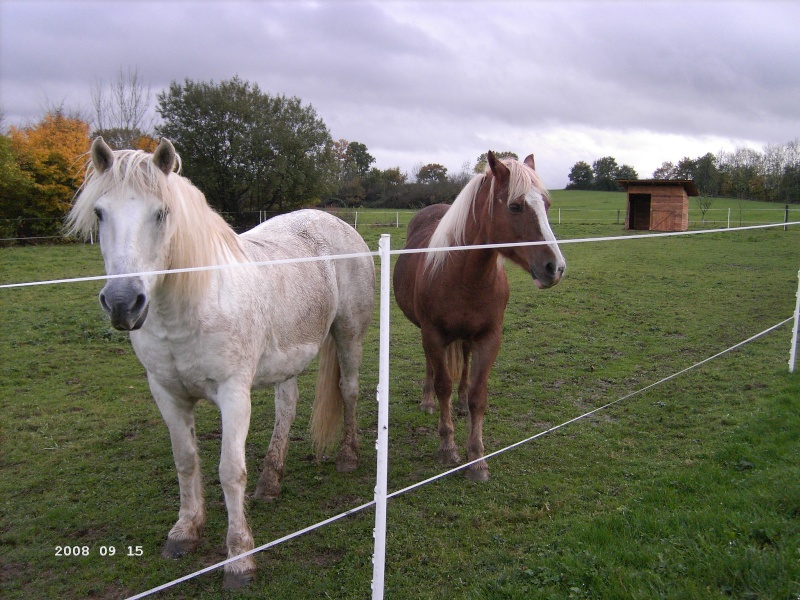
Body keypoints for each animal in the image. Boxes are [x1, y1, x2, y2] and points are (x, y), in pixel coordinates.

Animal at [66, 138, 376, 588]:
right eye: (100, 212)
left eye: (161, 213)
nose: (123, 303)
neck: (189, 307)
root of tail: (334, 221)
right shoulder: (166, 393)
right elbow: (186, 460)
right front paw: (184, 533)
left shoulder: (233, 393)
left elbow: (230, 471)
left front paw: (239, 558)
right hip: (288, 356)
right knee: (287, 407)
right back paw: (270, 482)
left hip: (349, 335)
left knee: (348, 391)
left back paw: (348, 458)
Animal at [390, 151, 564, 482]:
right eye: (515, 206)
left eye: (546, 206)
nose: (555, 268)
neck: (463, 273)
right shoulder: (433, 334)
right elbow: (443, 384)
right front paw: (448, 447)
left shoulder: (489, 336)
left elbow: (478, 395)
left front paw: (478, 459)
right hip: (428, 334)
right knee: (432, 366)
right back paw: (427, 402)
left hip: (467, 337)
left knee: (465, 364)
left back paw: (459, 404)